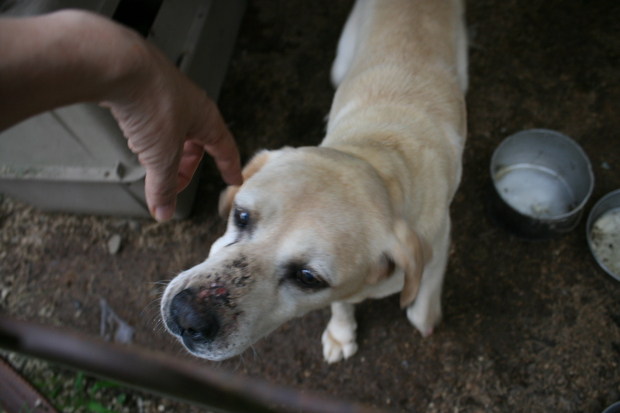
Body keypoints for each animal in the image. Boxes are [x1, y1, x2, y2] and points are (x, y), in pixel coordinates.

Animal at [160, 0, 464, 360]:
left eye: (307, 277)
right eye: (242, 216)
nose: (185, 316)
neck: (379, 155)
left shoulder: (440, 240)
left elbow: (428, 286)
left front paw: (424, 315)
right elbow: (342, 304)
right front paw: (341, 333)